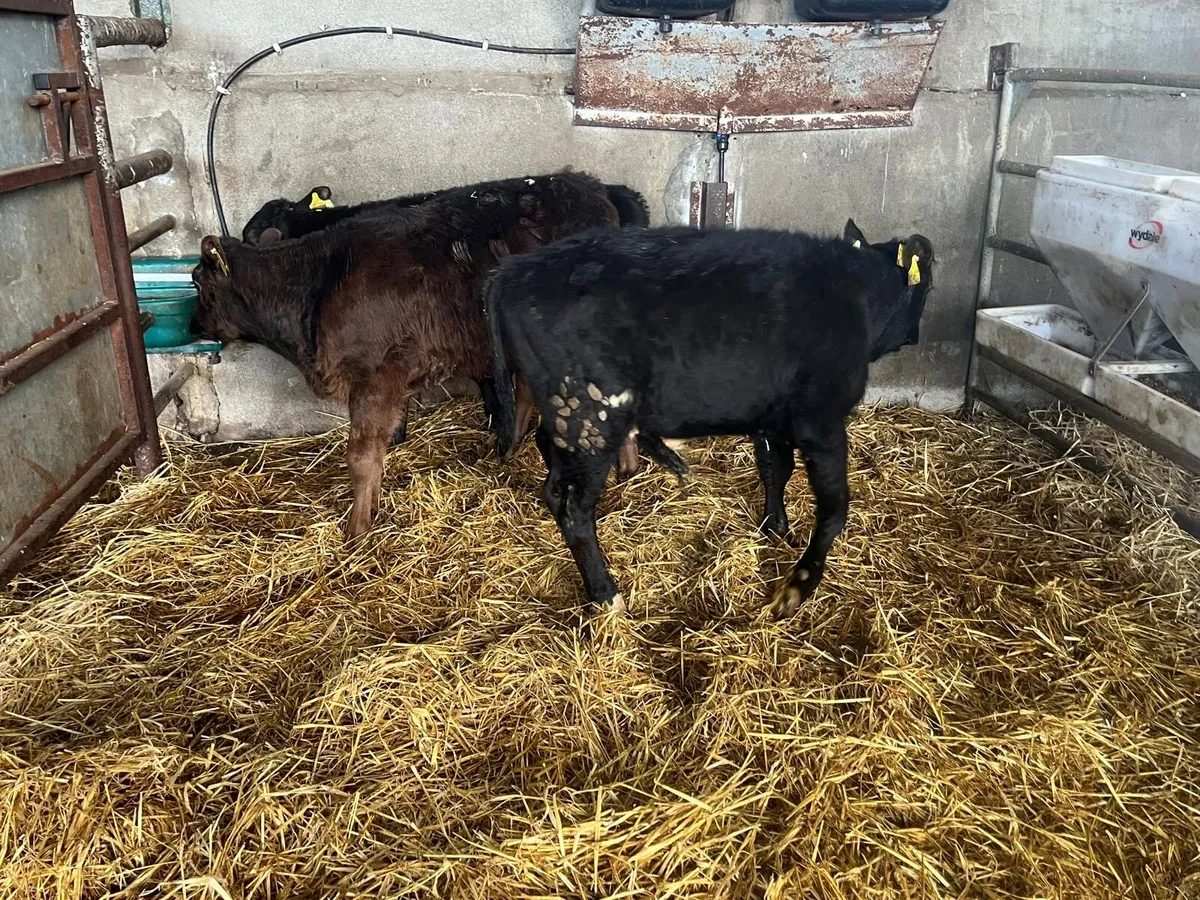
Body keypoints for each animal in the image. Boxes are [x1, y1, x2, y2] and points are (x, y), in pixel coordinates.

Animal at [192, 171, 643, 540]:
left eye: (197, 281)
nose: (192, 326)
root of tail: (593, 187)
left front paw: (357, 530)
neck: (317, 281)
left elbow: (361, 457)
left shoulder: (375, 378)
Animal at [485, 219, 934, 618]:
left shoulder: (772, 416)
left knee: (552, 484)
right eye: (928, 285)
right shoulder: (820, 418)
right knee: (574, 508)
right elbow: (834, 506)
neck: (855, 293)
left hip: (566, 423)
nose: (915, 336)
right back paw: (606, 596)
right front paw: (798, 585)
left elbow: (775, 469)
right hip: (591, 420)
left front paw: (775, 527)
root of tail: (513, 269)